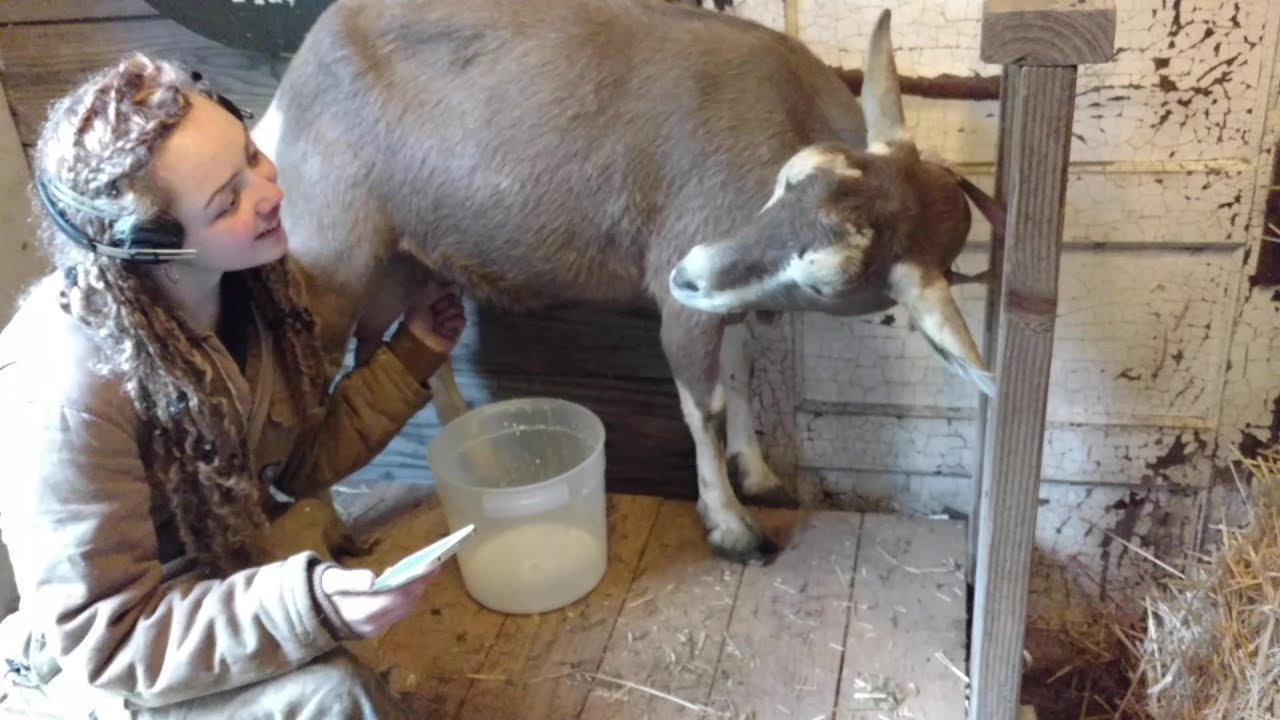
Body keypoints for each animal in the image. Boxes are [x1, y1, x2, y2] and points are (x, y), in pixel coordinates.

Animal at [254, 0, 1003, 561]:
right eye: (789, 179)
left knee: (408, 360)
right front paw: (731, 526)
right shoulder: (690, 280)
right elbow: (705, 405)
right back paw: (324, 528)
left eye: (825, 282)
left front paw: (757, 473)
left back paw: (480, 461)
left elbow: (739, 371)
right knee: (307, 380)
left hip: (407, 262)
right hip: (329, 257)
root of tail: (292, 84)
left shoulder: (727, 287)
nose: (687, 272)